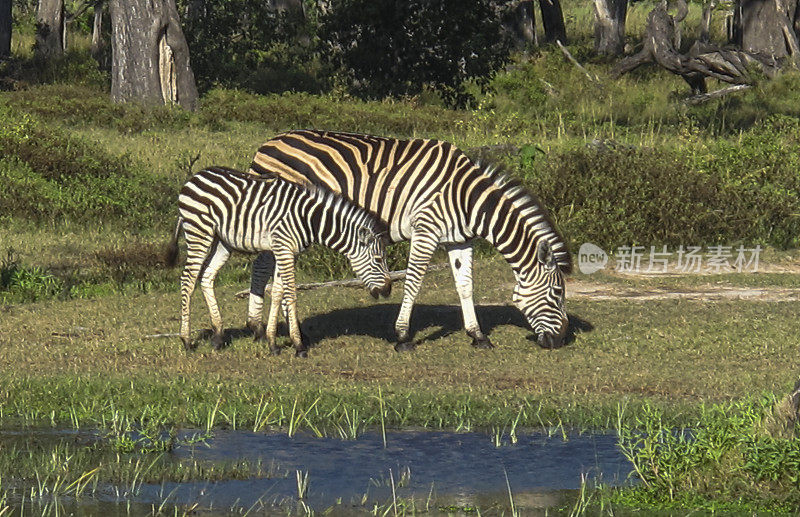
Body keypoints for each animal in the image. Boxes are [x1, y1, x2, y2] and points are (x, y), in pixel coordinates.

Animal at [165, 165, 390, 354]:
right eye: (379, 260)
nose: (388, 291)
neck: (309, 219)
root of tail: (195, 176)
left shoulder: (287, 252)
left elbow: (277, 292)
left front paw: (273, 342)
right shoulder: (284, 248)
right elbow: (291, 294)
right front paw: (299, 345)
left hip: (222, 241)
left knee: (206, 276)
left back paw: (219, 336)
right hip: (199, 232)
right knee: (188, 280)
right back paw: (186, 340)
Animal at [247, 131, 572, 352]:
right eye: (557, 293)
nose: (560, 341)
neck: (467, 199)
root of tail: (268, 143)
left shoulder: (459, 240)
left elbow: (465, 286)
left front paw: (478, 335)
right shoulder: (425, 230)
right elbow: (414, 283)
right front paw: (403, 336)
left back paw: (268, 329)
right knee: (263, 267)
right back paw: (264, 329)